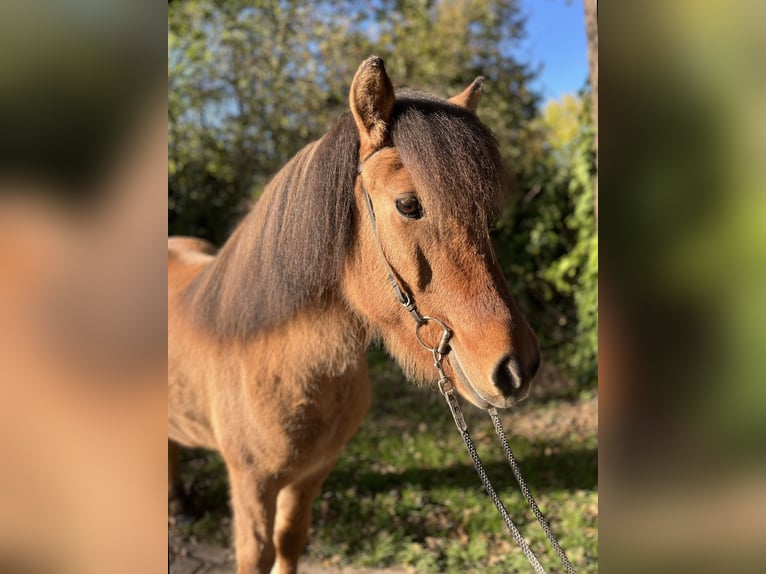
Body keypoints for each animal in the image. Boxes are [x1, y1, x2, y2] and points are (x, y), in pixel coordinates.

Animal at [168, 55, 540, 574]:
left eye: (486, 216)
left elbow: (290, 542)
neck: (281, 360)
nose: (517, 368)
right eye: (408, 204)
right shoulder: (251, 488)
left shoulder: (310, 475)